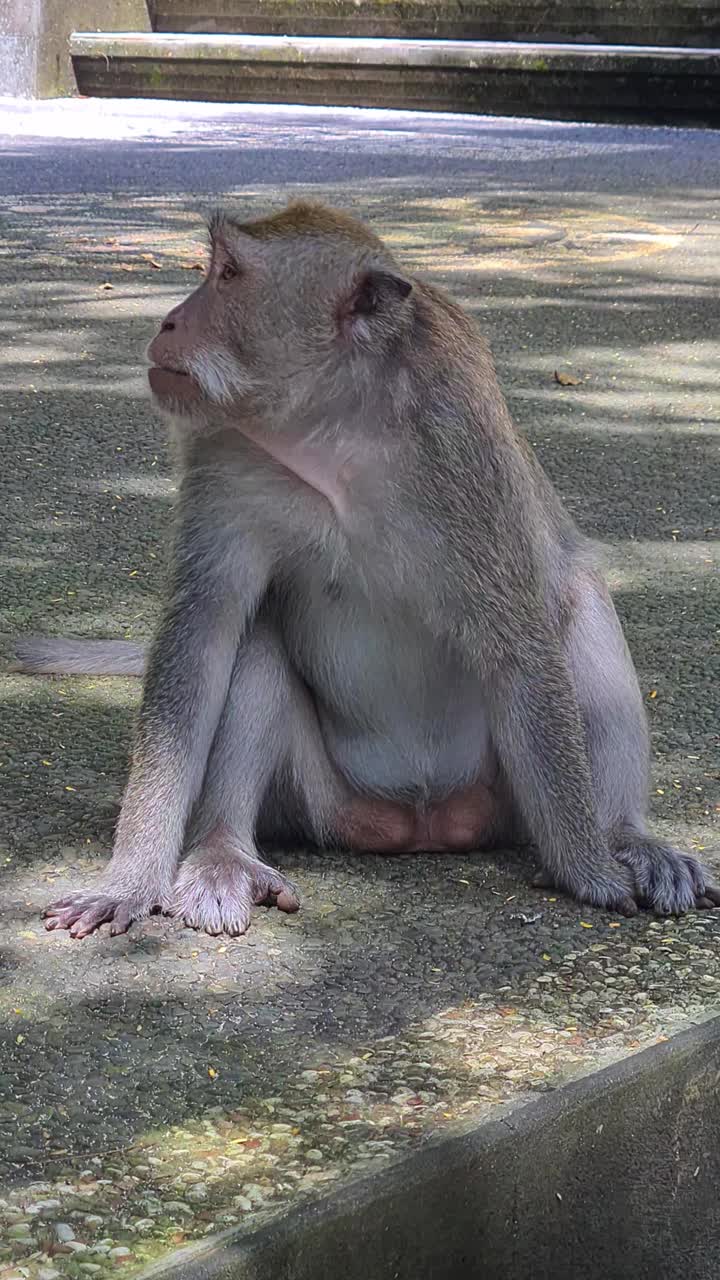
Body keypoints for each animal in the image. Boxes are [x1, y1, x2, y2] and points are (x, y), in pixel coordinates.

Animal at [14, 200, 720, 939]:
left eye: (228, 274)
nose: (169, 320)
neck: (335, 431)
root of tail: (422, 824)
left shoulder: (463, 452)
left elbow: (520, 640)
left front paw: (589, 869)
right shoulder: (224, 453)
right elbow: (201, 637)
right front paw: (127, 881)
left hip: (504, 797)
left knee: (580, 595)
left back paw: (626, 836)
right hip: (319, 802)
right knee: (255, 636)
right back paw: (223, 851)